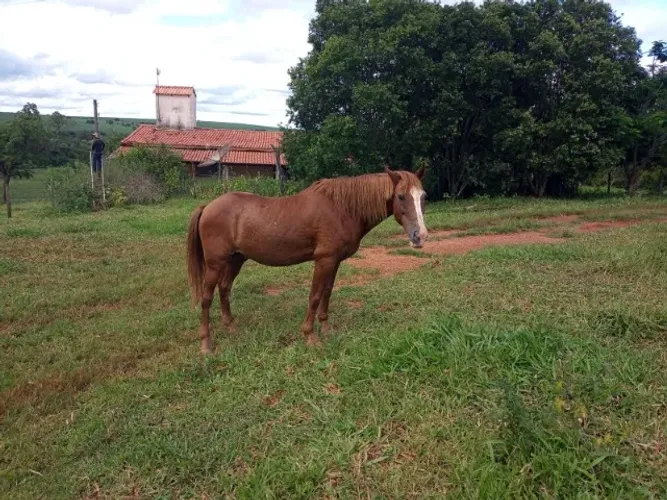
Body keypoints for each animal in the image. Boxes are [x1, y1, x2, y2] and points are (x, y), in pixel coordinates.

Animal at [186, 166, 428, 354]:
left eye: (422, 197)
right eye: (401, 196)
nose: (421, 236)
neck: (341, 208)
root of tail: (207, 207)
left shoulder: (334, 261)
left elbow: (327, 294)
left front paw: (327, 330)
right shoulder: (323, 261)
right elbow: (314, 297)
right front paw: (310, 336)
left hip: (236, 260)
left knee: (225, 289)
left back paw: (231, 327)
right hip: (215, 264)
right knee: (206, 299)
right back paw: (206, 344)